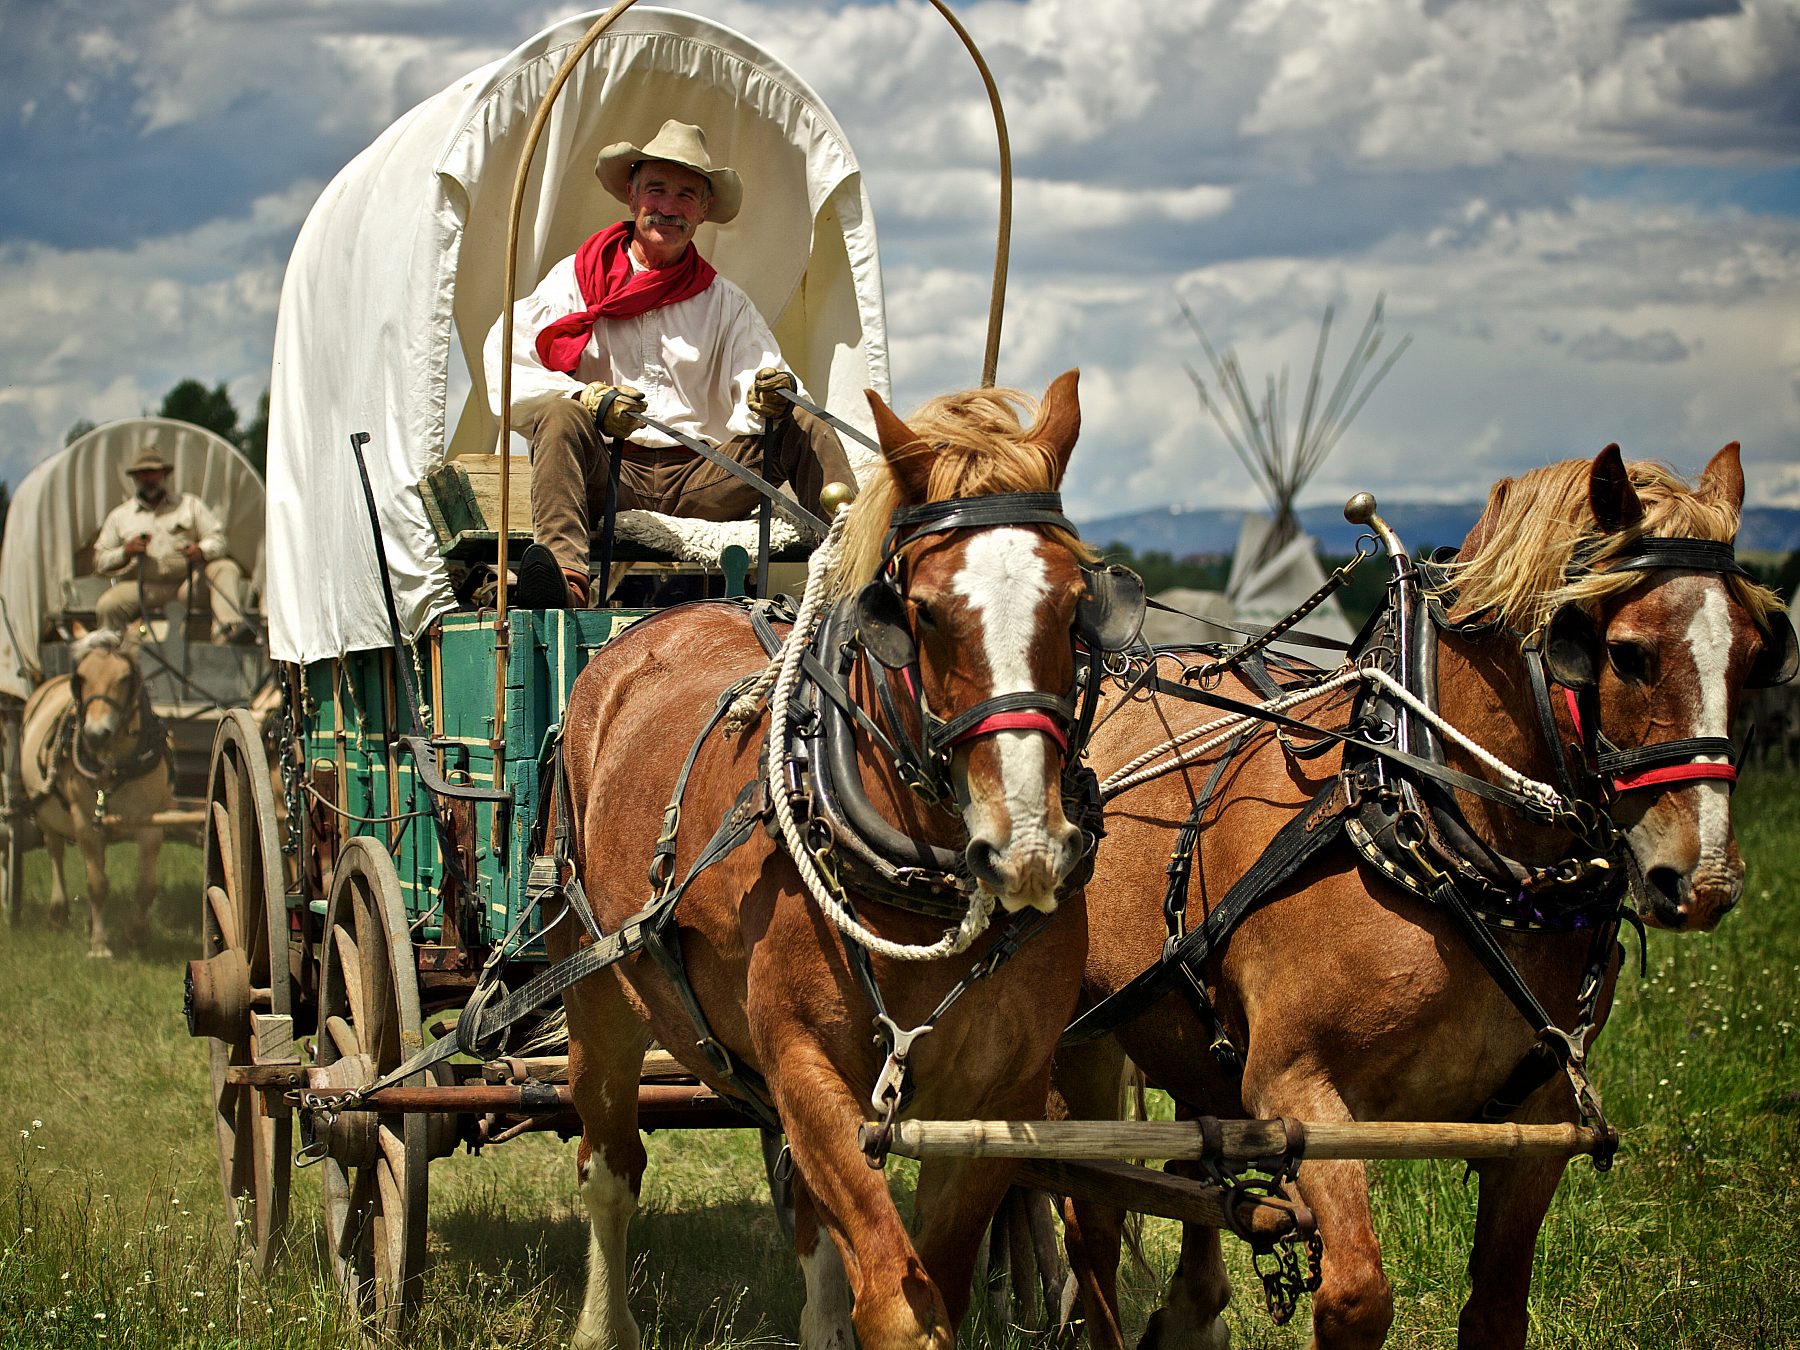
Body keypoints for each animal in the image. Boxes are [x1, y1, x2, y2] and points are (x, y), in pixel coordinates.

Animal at [19, 630, 171, 957]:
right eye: (82, 677)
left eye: (125, 677)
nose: (96, 734)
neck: (116, 767)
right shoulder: (86, 825)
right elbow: (97, 885)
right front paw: (99, 945)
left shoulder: (151, 824)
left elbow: (146, 885)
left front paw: (136, 933)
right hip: (45, 813)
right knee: (55, 851)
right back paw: (58, 912)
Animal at [554, 372, 1101, 1350]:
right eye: (922, 611)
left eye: (1077, 604)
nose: (1029, 847)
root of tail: (663, 616)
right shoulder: (804, 1066)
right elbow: (898, 1304)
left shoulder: (998, 1097)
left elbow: (936, 1283)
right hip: (597, 989)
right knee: (610, 1170)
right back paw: (603, 1325)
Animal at [1051, 446, 1785, 1350]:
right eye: (1625, 654)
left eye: (1756, 654)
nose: (1704, 878)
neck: (1422, 820)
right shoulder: (1301, 1096)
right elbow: (1357, 1295)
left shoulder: (1538, 1125)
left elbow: (1498, 1308)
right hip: (1076, 1048)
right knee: (1089, 1218)